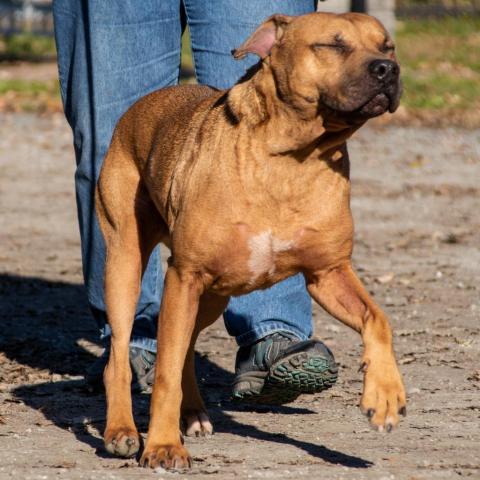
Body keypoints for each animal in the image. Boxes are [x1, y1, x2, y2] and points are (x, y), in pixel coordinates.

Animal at [95, 12, 406, 472]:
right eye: (333, 45)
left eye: (387, 47)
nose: (388, 70)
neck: (294, 158)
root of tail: (140, 107)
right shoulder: (185, 275)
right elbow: (164, 371)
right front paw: (164, 446)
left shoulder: (328, 273)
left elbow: (378, 320)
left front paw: (384, 394)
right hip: (126, 265)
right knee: (120, 351)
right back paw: (121, 430)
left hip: (212, 295)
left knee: (185, 345)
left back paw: (194, 413)